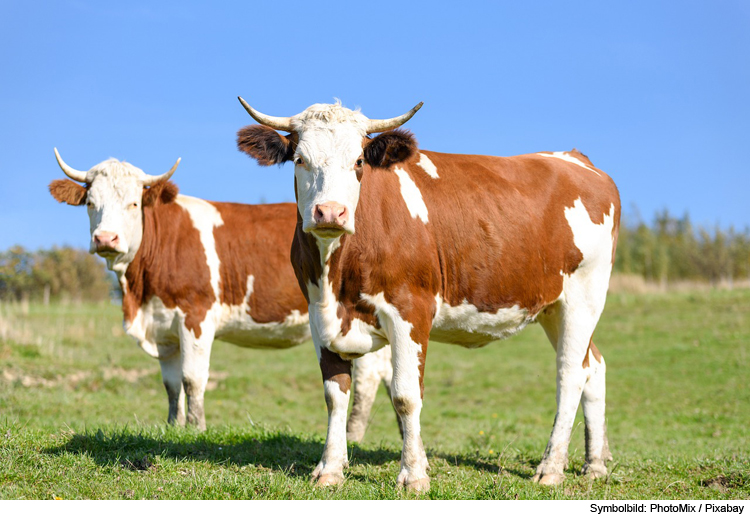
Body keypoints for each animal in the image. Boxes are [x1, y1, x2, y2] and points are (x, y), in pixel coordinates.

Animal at [239, 99, 624, 490]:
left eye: (359, 161)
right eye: (300, 159)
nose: (330, 211)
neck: (338, 273)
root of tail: (575, 158)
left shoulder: (411, 309)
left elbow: (406, 396)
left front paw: (413, 475)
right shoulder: (320, 315)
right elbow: (335, 394)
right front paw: (330, 469)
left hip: (584, 296)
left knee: (570, 374)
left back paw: (551, 467)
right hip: (552, 308)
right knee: (594, 366)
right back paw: (594, 463)